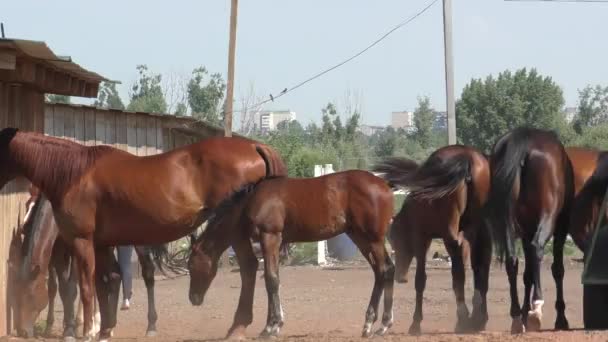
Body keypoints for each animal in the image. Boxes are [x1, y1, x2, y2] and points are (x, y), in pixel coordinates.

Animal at [0, 128, 288, 342]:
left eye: (26, 293)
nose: (23, 331)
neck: (73, 174)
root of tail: (255, 147)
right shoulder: (101, 244)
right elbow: (107, 281)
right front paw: (105, 330)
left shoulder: (80, 242)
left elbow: (83, 288)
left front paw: (86, 332)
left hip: (234, 230)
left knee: (250, 268)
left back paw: (242, 326)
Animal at [185, 170, 394, 338]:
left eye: (191, 265)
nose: (193, 299)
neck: (251, 200)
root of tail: (384, 184)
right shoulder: (273, 242)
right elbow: (273, 279)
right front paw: (273, 325)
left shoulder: (270, 237)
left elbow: (271, 279)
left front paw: (271, 327)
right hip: (360, 237)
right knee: (383, 270)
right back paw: (377, 324)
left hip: (372, 238)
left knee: (384, 270)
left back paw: (377, 325)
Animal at [372, 144, 492, 334]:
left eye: (395, 240)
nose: (400, 276)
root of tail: (467, 158)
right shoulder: (464, 239)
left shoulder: (422, 239)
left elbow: (420, 280)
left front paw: (416, 323)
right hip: (480, 230)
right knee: (481, 266)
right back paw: (479, 319)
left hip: (451, 236)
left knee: (458, 274)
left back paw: (463, 318)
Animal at [484, 127, 576, 332]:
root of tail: (525, 139)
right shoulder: (560, 227)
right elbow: (557, 269)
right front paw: (560, 319)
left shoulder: (526, 231)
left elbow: (528, 275)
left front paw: (524, 314)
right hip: (548, 217)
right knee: (538, 247)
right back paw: (537, 306)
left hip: (508, 221)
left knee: (512, 260)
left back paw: (517, 317)